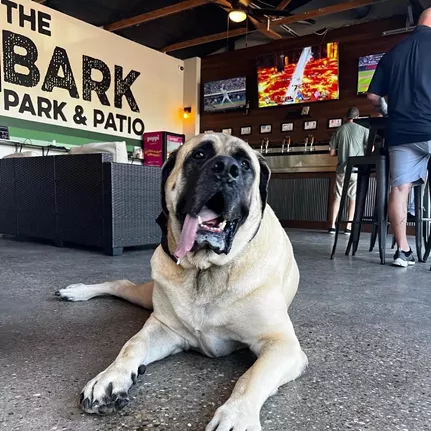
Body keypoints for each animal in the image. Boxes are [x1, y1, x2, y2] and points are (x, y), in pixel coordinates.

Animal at [57, 133, 308, 430]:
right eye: (199, 155)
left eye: (245, 164)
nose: (226, 168)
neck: (206, 269)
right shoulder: (166, 328)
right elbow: (133, 344)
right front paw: (109, 378)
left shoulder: (281, 344)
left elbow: (251, 376)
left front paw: (236, 415)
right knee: (121, 284)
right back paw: (77, 292)